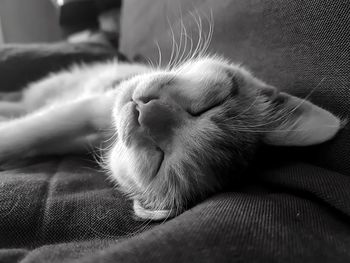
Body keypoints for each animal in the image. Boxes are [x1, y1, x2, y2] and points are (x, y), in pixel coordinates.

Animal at [0, 56, 342, 222]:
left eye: (158, 157)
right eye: (207, 106)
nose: (143, 111)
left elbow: (35, 134)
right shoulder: (94, 104)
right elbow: (39, 127)